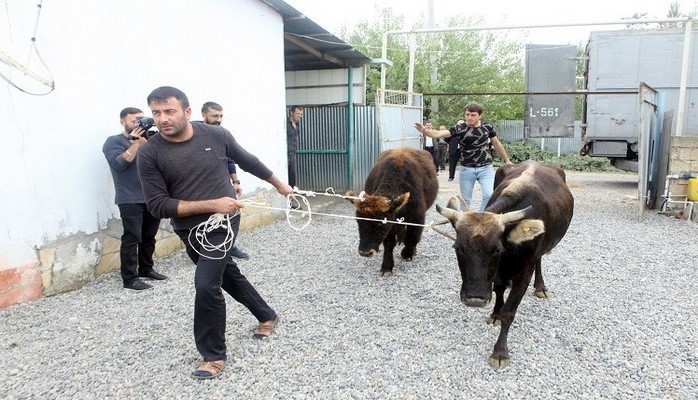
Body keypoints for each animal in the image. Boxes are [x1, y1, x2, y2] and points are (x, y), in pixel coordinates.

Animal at [346, 147, 438, 276]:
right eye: (359, 222)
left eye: (381, 223)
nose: (365, 252)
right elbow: (389, 243)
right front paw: (386, 267)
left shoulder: (417, 217)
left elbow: (413, 237)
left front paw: (408, 253)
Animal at [436, 160, 572, 368]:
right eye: (457, 248)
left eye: (497, 250)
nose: (475, 299)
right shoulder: (497, 273)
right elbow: (498, 289)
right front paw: (495, 314)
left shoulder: (524, 271)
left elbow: (509, 312)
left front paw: (500, 352)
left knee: (539, 260)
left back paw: (540, 287)